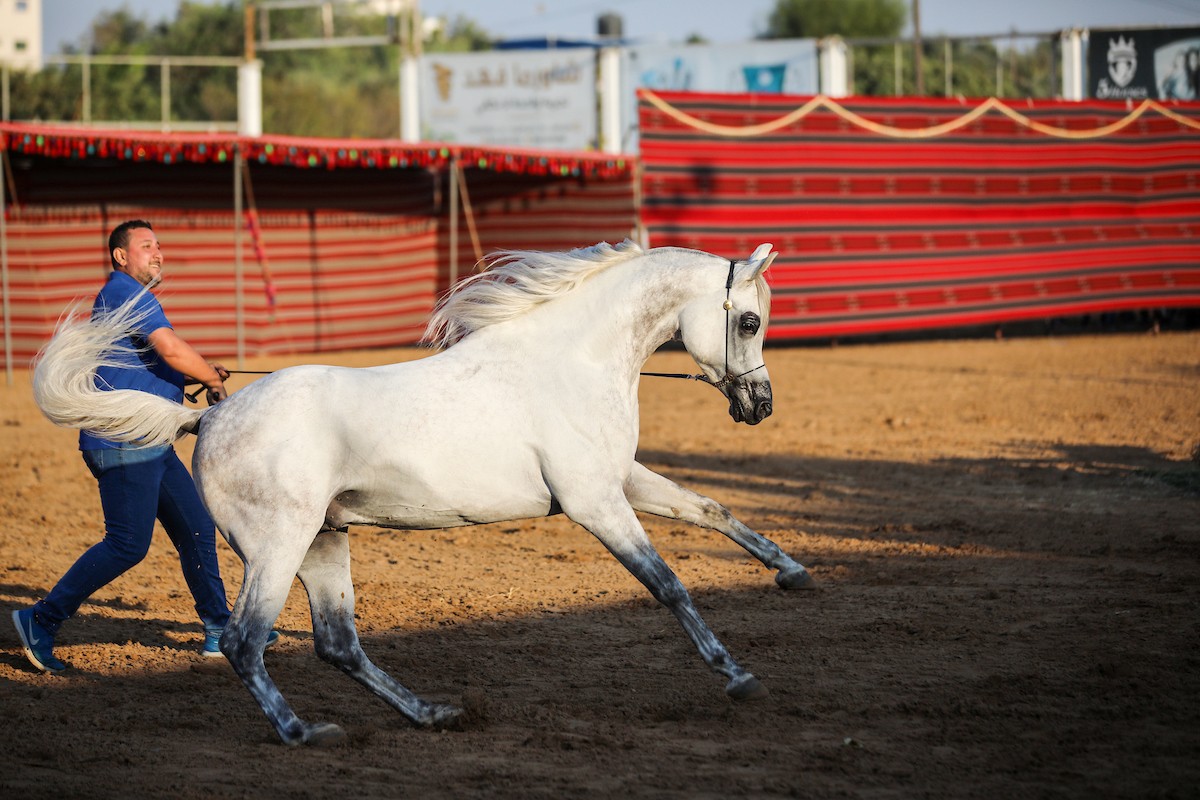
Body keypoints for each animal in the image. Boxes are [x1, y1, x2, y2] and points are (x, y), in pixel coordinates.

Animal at [32, 237, 816, 743]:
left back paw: (433, 714)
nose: (760, 407)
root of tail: (210, 414)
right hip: (278, 547)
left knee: (338, 644)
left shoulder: (618, 478)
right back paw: (304, 730)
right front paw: (736, 675)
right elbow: (668, 585)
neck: (572, 360)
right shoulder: (594, 502)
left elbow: (712, 509)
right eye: (749, 320)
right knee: (246, 642)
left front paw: (794, 573)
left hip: (324, 541)